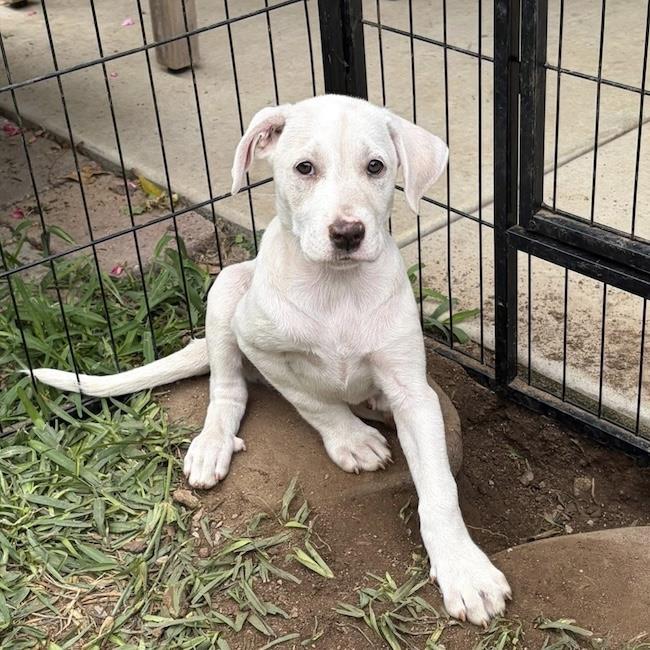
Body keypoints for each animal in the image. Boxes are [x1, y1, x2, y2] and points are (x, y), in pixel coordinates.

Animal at [32, 94, 511, 625]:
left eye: (376, 167)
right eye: (304, 168)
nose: (347, 233)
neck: (336, 289)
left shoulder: (414, 391)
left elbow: (439, 489)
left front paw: (464, 570)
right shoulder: (261, 348)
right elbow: (314, 402)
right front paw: (352, 440)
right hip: (226, 292)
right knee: (227, 390)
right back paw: (213, 444)